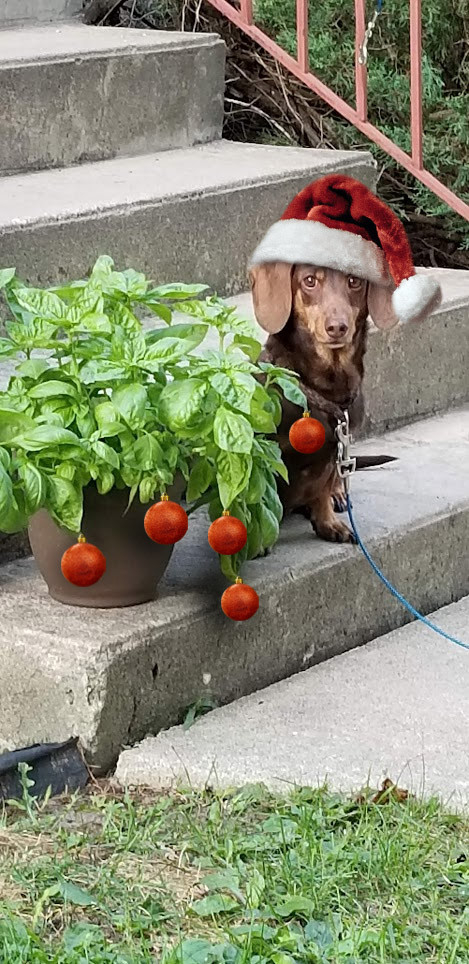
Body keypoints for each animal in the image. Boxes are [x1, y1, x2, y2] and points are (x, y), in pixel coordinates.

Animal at [250, 260, 394, 548]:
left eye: (354, 281)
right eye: (309, 281)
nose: (337, 327)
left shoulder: (334, 450)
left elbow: (323, 488)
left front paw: (328, 523)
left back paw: (338, 495)